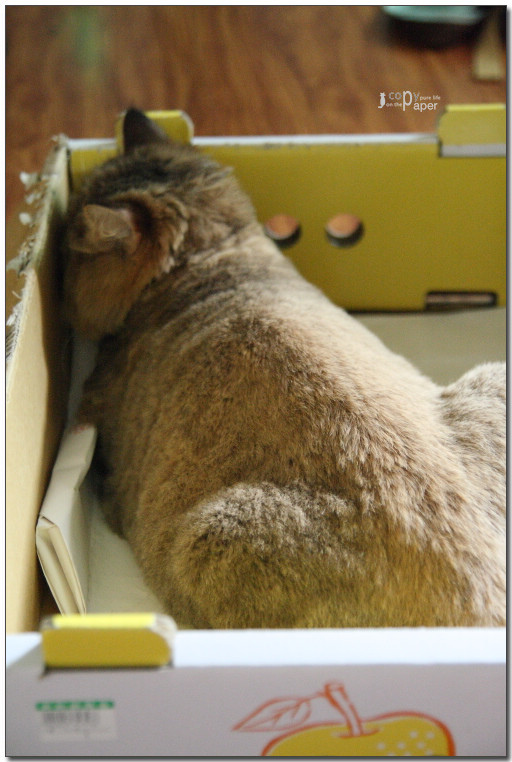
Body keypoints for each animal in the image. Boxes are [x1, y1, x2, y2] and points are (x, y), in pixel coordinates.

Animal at [61, 108, 505, 629]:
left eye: (69, 257)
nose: (57, 277)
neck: (213, 255)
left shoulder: (96, 407)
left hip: (214, 534)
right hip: (495, 376)